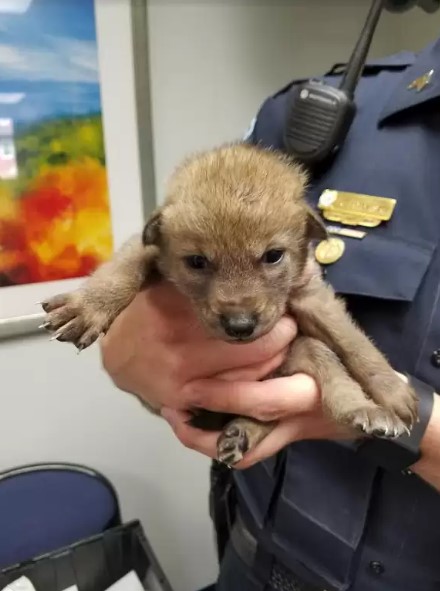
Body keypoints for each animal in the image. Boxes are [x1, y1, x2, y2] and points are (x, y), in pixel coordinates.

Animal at [40, 142, 420, 468]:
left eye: (273, 255)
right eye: (196, 261)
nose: (240, 325)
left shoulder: (312, 296)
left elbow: (354, 344)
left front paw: (392, 391)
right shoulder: (147, 249)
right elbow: (124, 267)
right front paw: (89, 305)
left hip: (300, 356)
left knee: (320, 373)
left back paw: (356, 411)